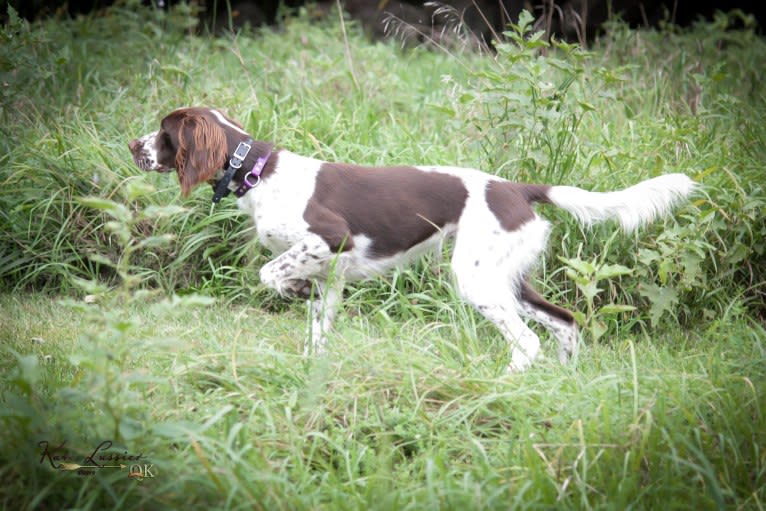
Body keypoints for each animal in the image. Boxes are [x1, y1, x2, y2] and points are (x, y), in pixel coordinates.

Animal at [129, 107, 700, 372]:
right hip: (509, 278)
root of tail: (517, 187)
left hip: (475, 279)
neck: (258, 171)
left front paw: (290, 290)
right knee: (566, 322)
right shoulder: (332, 278)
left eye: (163, 132)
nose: (133, 145)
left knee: (528, 341)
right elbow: (317, 334)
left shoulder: (329, 241)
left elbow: (271, 273)